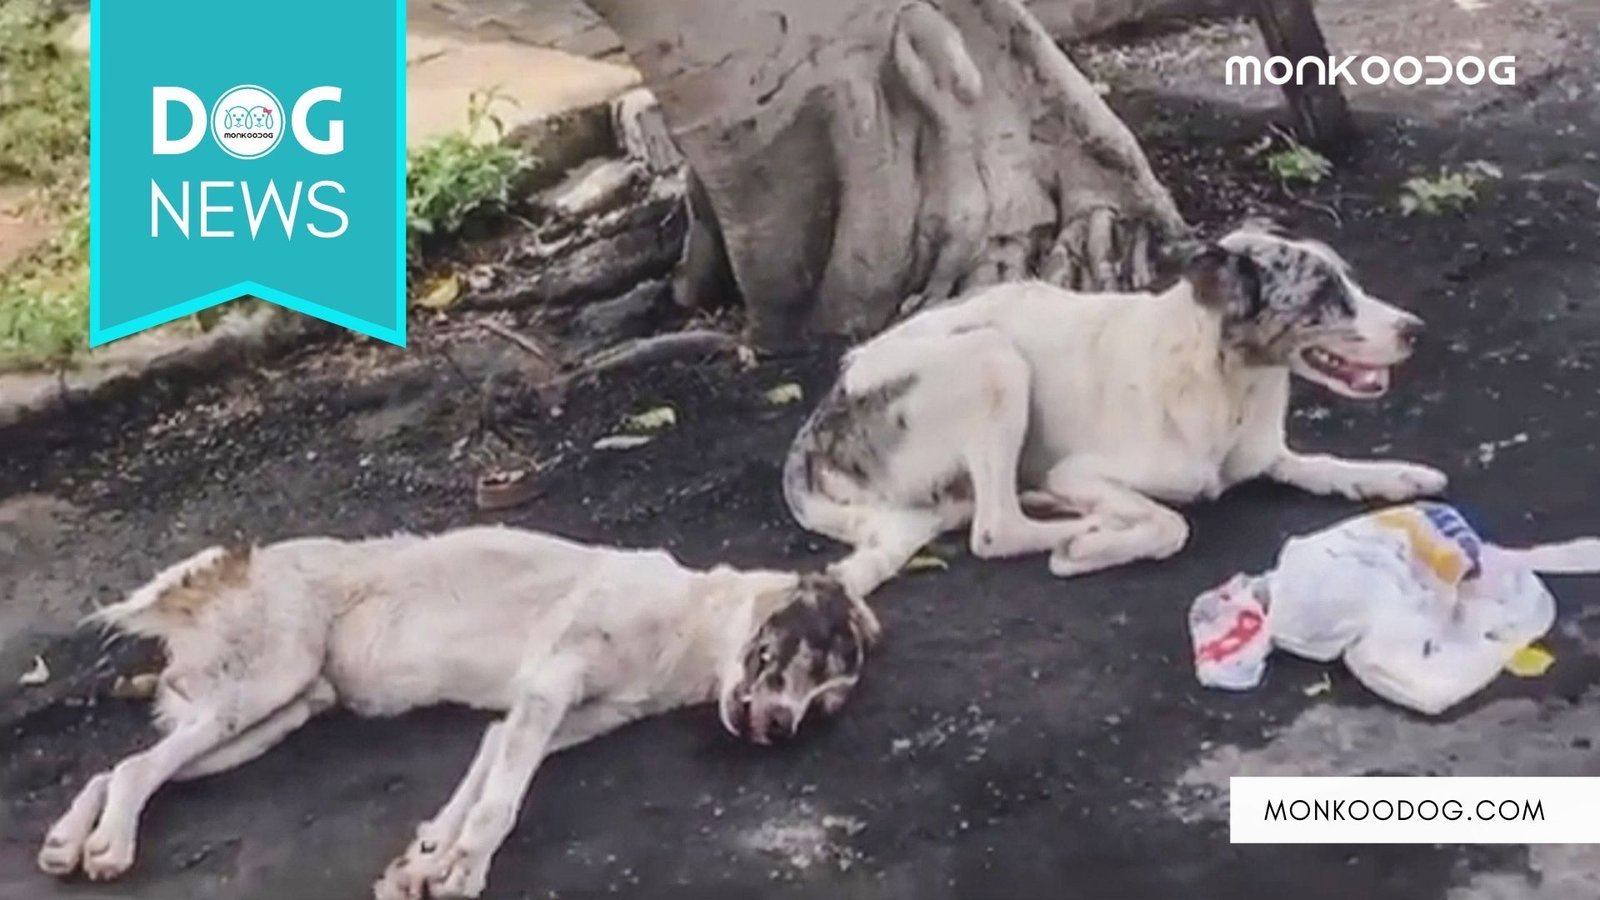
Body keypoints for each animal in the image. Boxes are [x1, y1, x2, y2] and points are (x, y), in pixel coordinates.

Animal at [34, 522, 876, 890]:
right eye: (804, 652)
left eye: (828, 704)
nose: (779, 731)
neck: (689, 630)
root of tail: (242, 567)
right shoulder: (551, 683)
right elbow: (500, 802)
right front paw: (464, 870)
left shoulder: (551, 714)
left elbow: (480, 778)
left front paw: (432, 853)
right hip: (264, 684)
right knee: (136, 769)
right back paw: (107, 847)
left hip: (273, 714)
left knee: (121, 768)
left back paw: (71, 840)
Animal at [787, 219, 1452, 595]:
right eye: (1324, 295)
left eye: (1350, 281)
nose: (1417, 330)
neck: (1226, 383)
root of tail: (819, 426)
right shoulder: (1082, 472)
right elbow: (1172, 524)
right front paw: (1101, 542)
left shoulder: (1264, 453)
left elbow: (1322, 465)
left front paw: (1393, 475)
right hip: (993, 359)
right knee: (996, 529)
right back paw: (1080, 528)